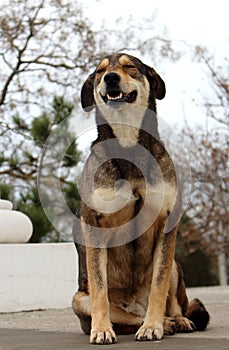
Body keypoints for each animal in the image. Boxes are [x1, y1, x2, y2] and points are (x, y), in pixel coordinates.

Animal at [72, 53, 210, 344]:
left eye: (129, 66)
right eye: (100, 72)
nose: (110, 78)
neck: (128, 144)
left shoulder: (166, 226)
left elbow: (159, 285)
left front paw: (152, 326)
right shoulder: (95, 228)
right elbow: (99, 289)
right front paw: (102, 330)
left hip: (175, 265)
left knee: (173, 301)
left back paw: (174, 320)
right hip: (79, 299)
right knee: (123, 315)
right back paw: (160, 323)